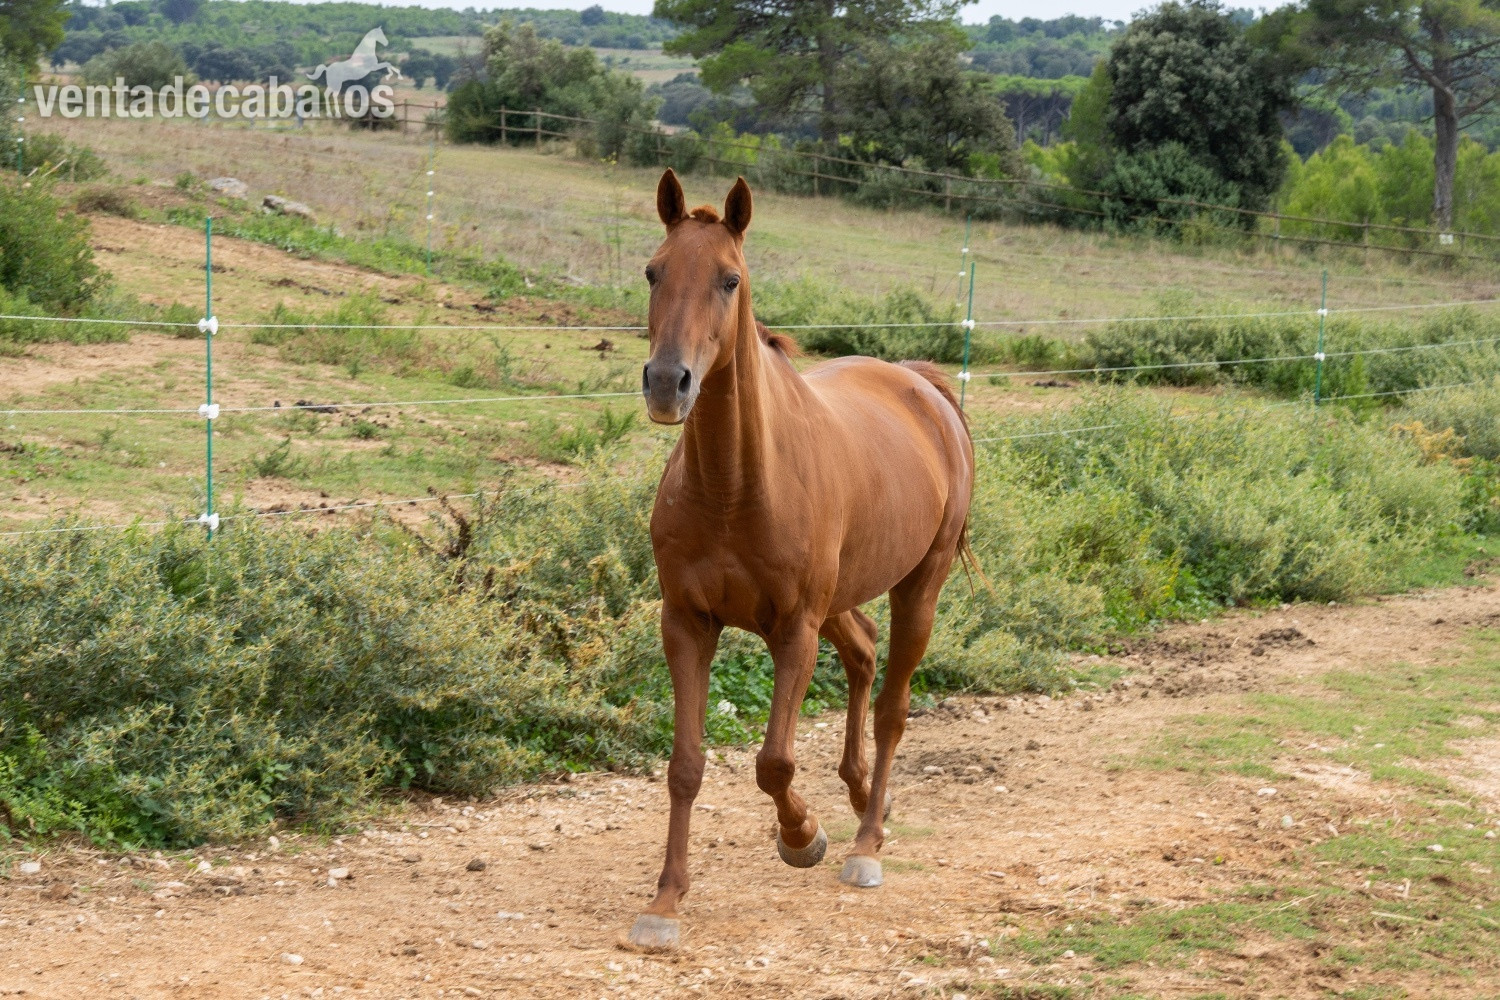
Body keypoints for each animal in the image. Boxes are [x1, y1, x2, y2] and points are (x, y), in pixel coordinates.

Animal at [627, 169, 977, 950]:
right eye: (653, 271)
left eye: (729, 279)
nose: (667, 383)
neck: (735, 486)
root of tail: (923, 386)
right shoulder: (688, 623)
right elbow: (686, 765)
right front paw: (665, 901)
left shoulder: (793, 631)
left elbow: (774, 761)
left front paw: (802, 836)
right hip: (842, 600)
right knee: (865, 654)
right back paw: (861, 794)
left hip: (920, 586)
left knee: (893, 705)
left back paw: (866, 842)